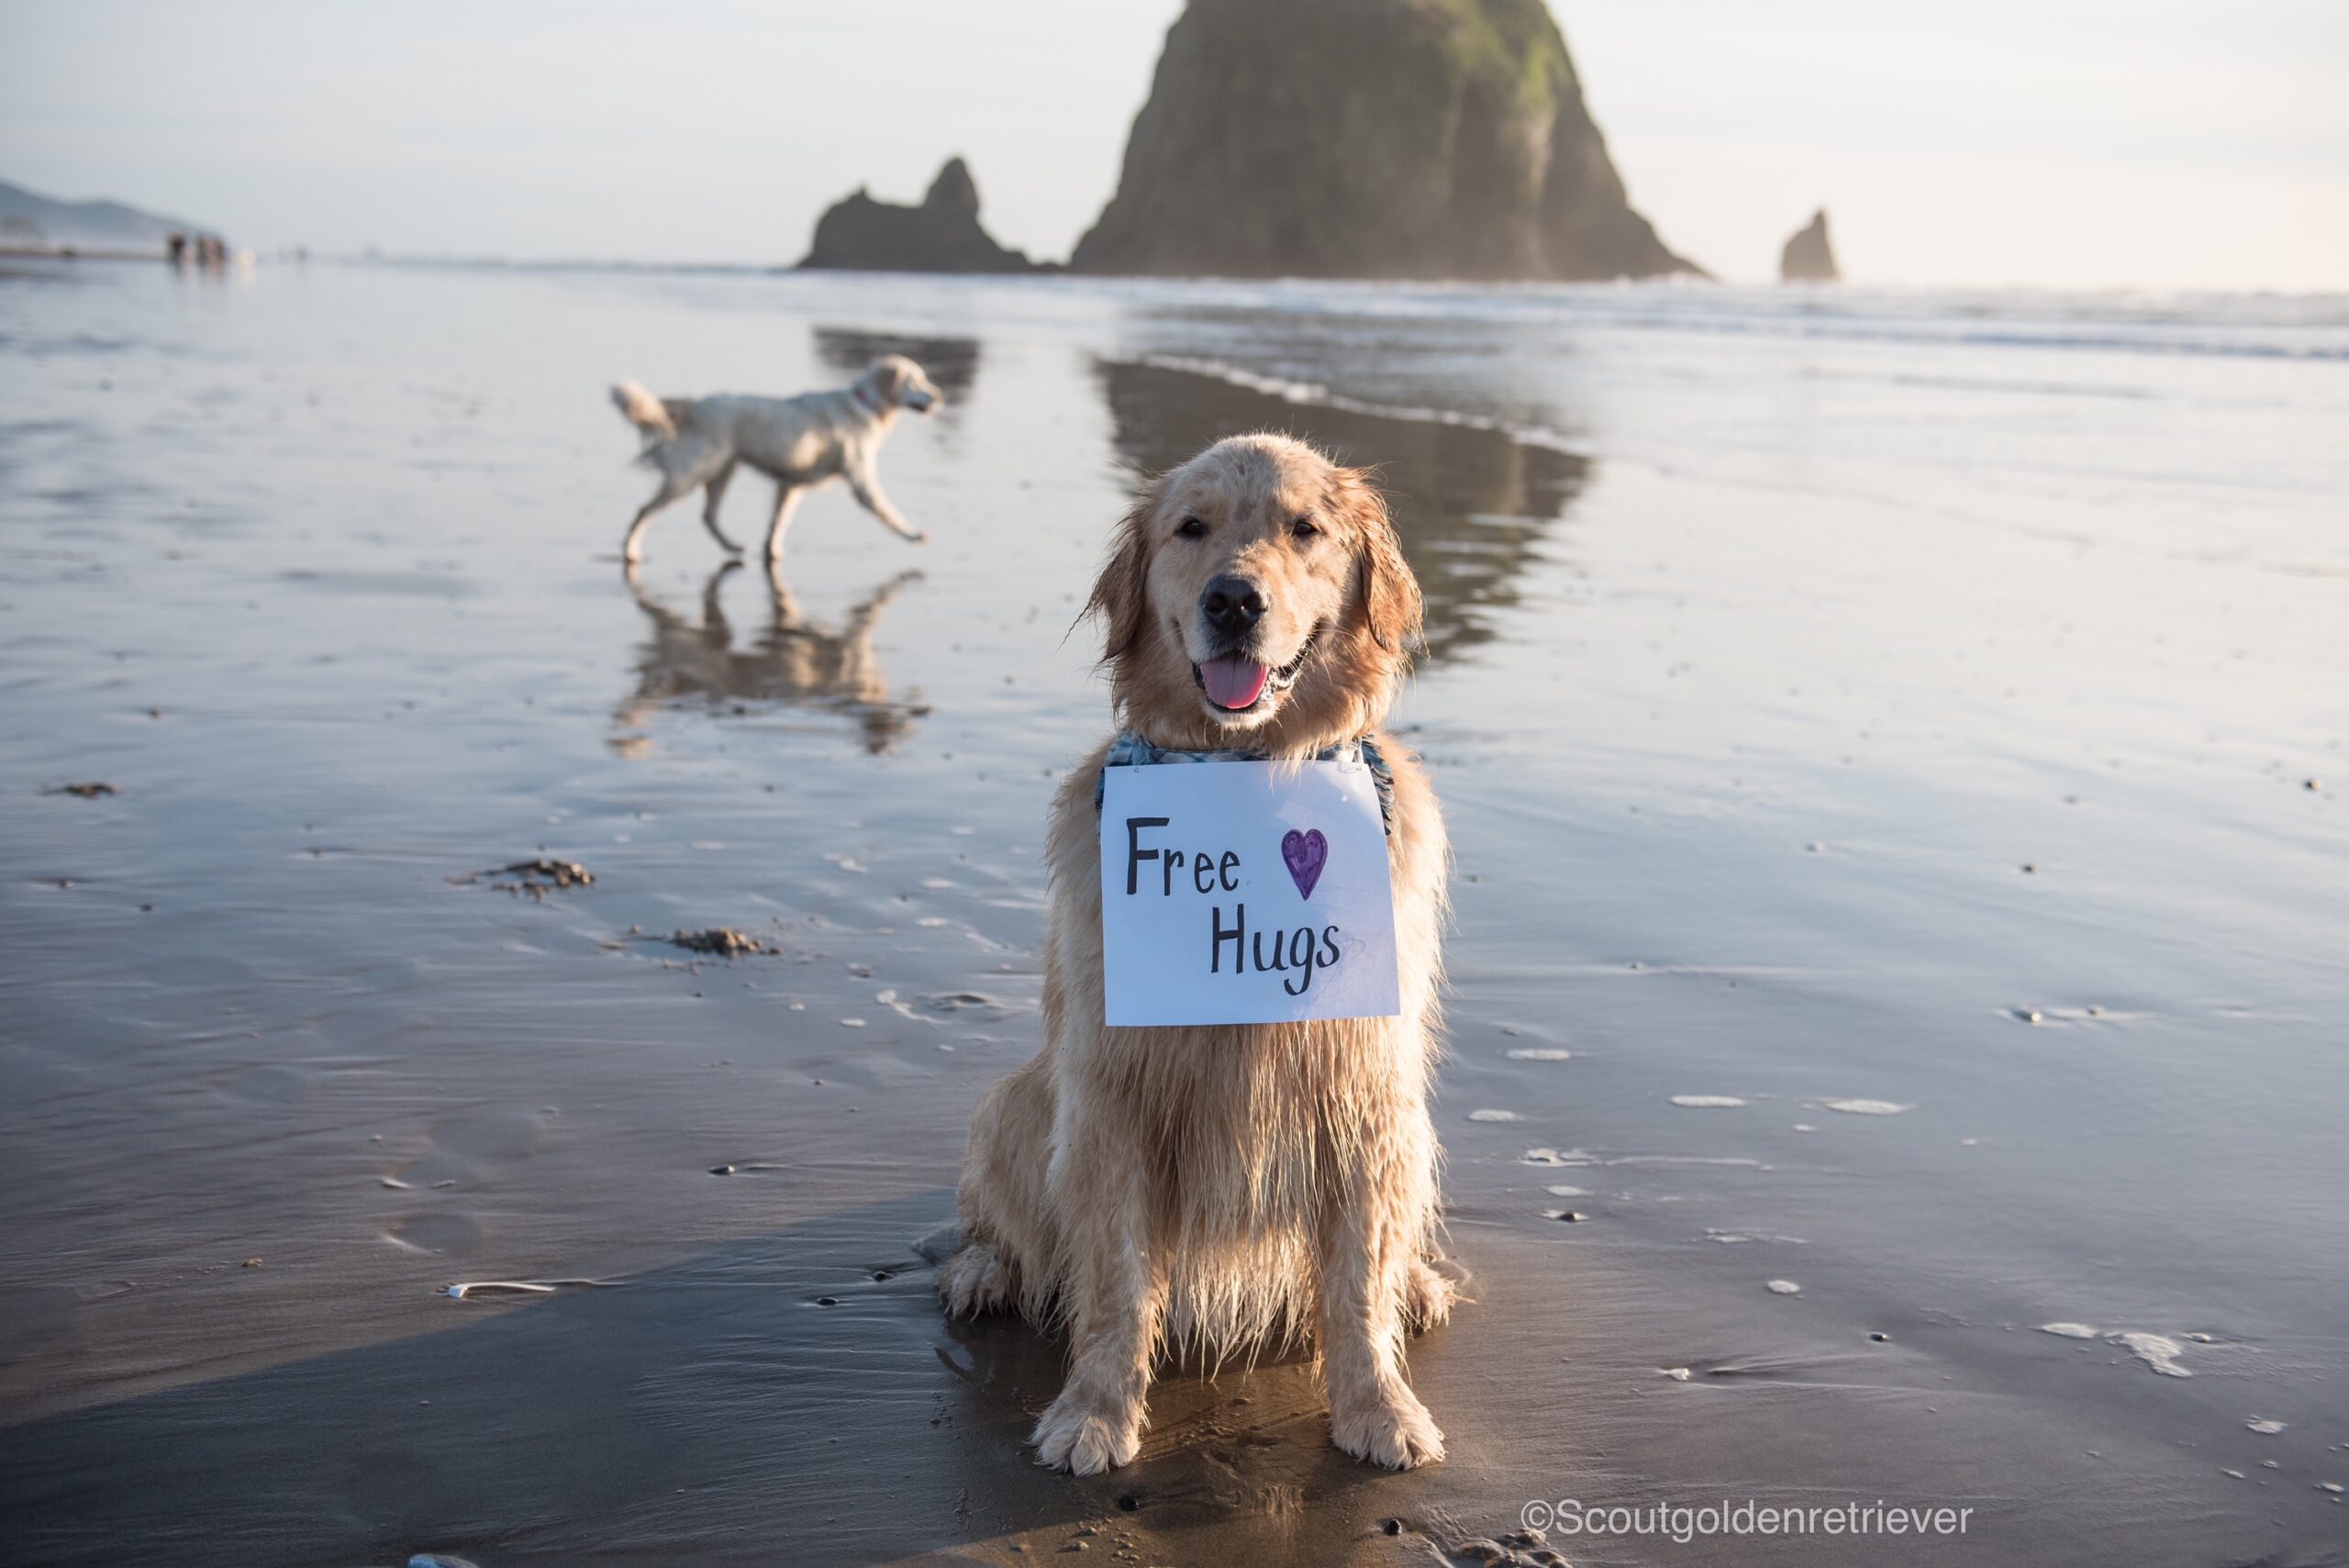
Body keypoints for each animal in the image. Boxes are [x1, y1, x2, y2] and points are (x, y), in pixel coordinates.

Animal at [610, 359, 940, 565]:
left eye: (925, 380)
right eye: (916, 382)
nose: (938, 398)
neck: (865, 403)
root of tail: (695, 405)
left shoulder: (791, 485)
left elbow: (779, 522)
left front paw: (772, 552)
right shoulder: (861, 480)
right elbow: (889, 512)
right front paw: (913, 534)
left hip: (722, 470)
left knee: (708, 515)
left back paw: (732, 546)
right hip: (694, 472)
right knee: (645, 512)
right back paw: (630, 552)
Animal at [934, 434, 1446, 1473]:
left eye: (1305, 529)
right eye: (1191, 527)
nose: (1233, 600)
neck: (1244, 774)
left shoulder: (1365, 1088)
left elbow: (1356, 1283)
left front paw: (1377, 1406)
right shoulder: (1114, 1094)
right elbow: (1117, 1282)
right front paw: (1094, 1410)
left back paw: (1417, 1281)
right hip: (1020, 1099)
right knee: (1002, 1220)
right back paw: (982, 1268)